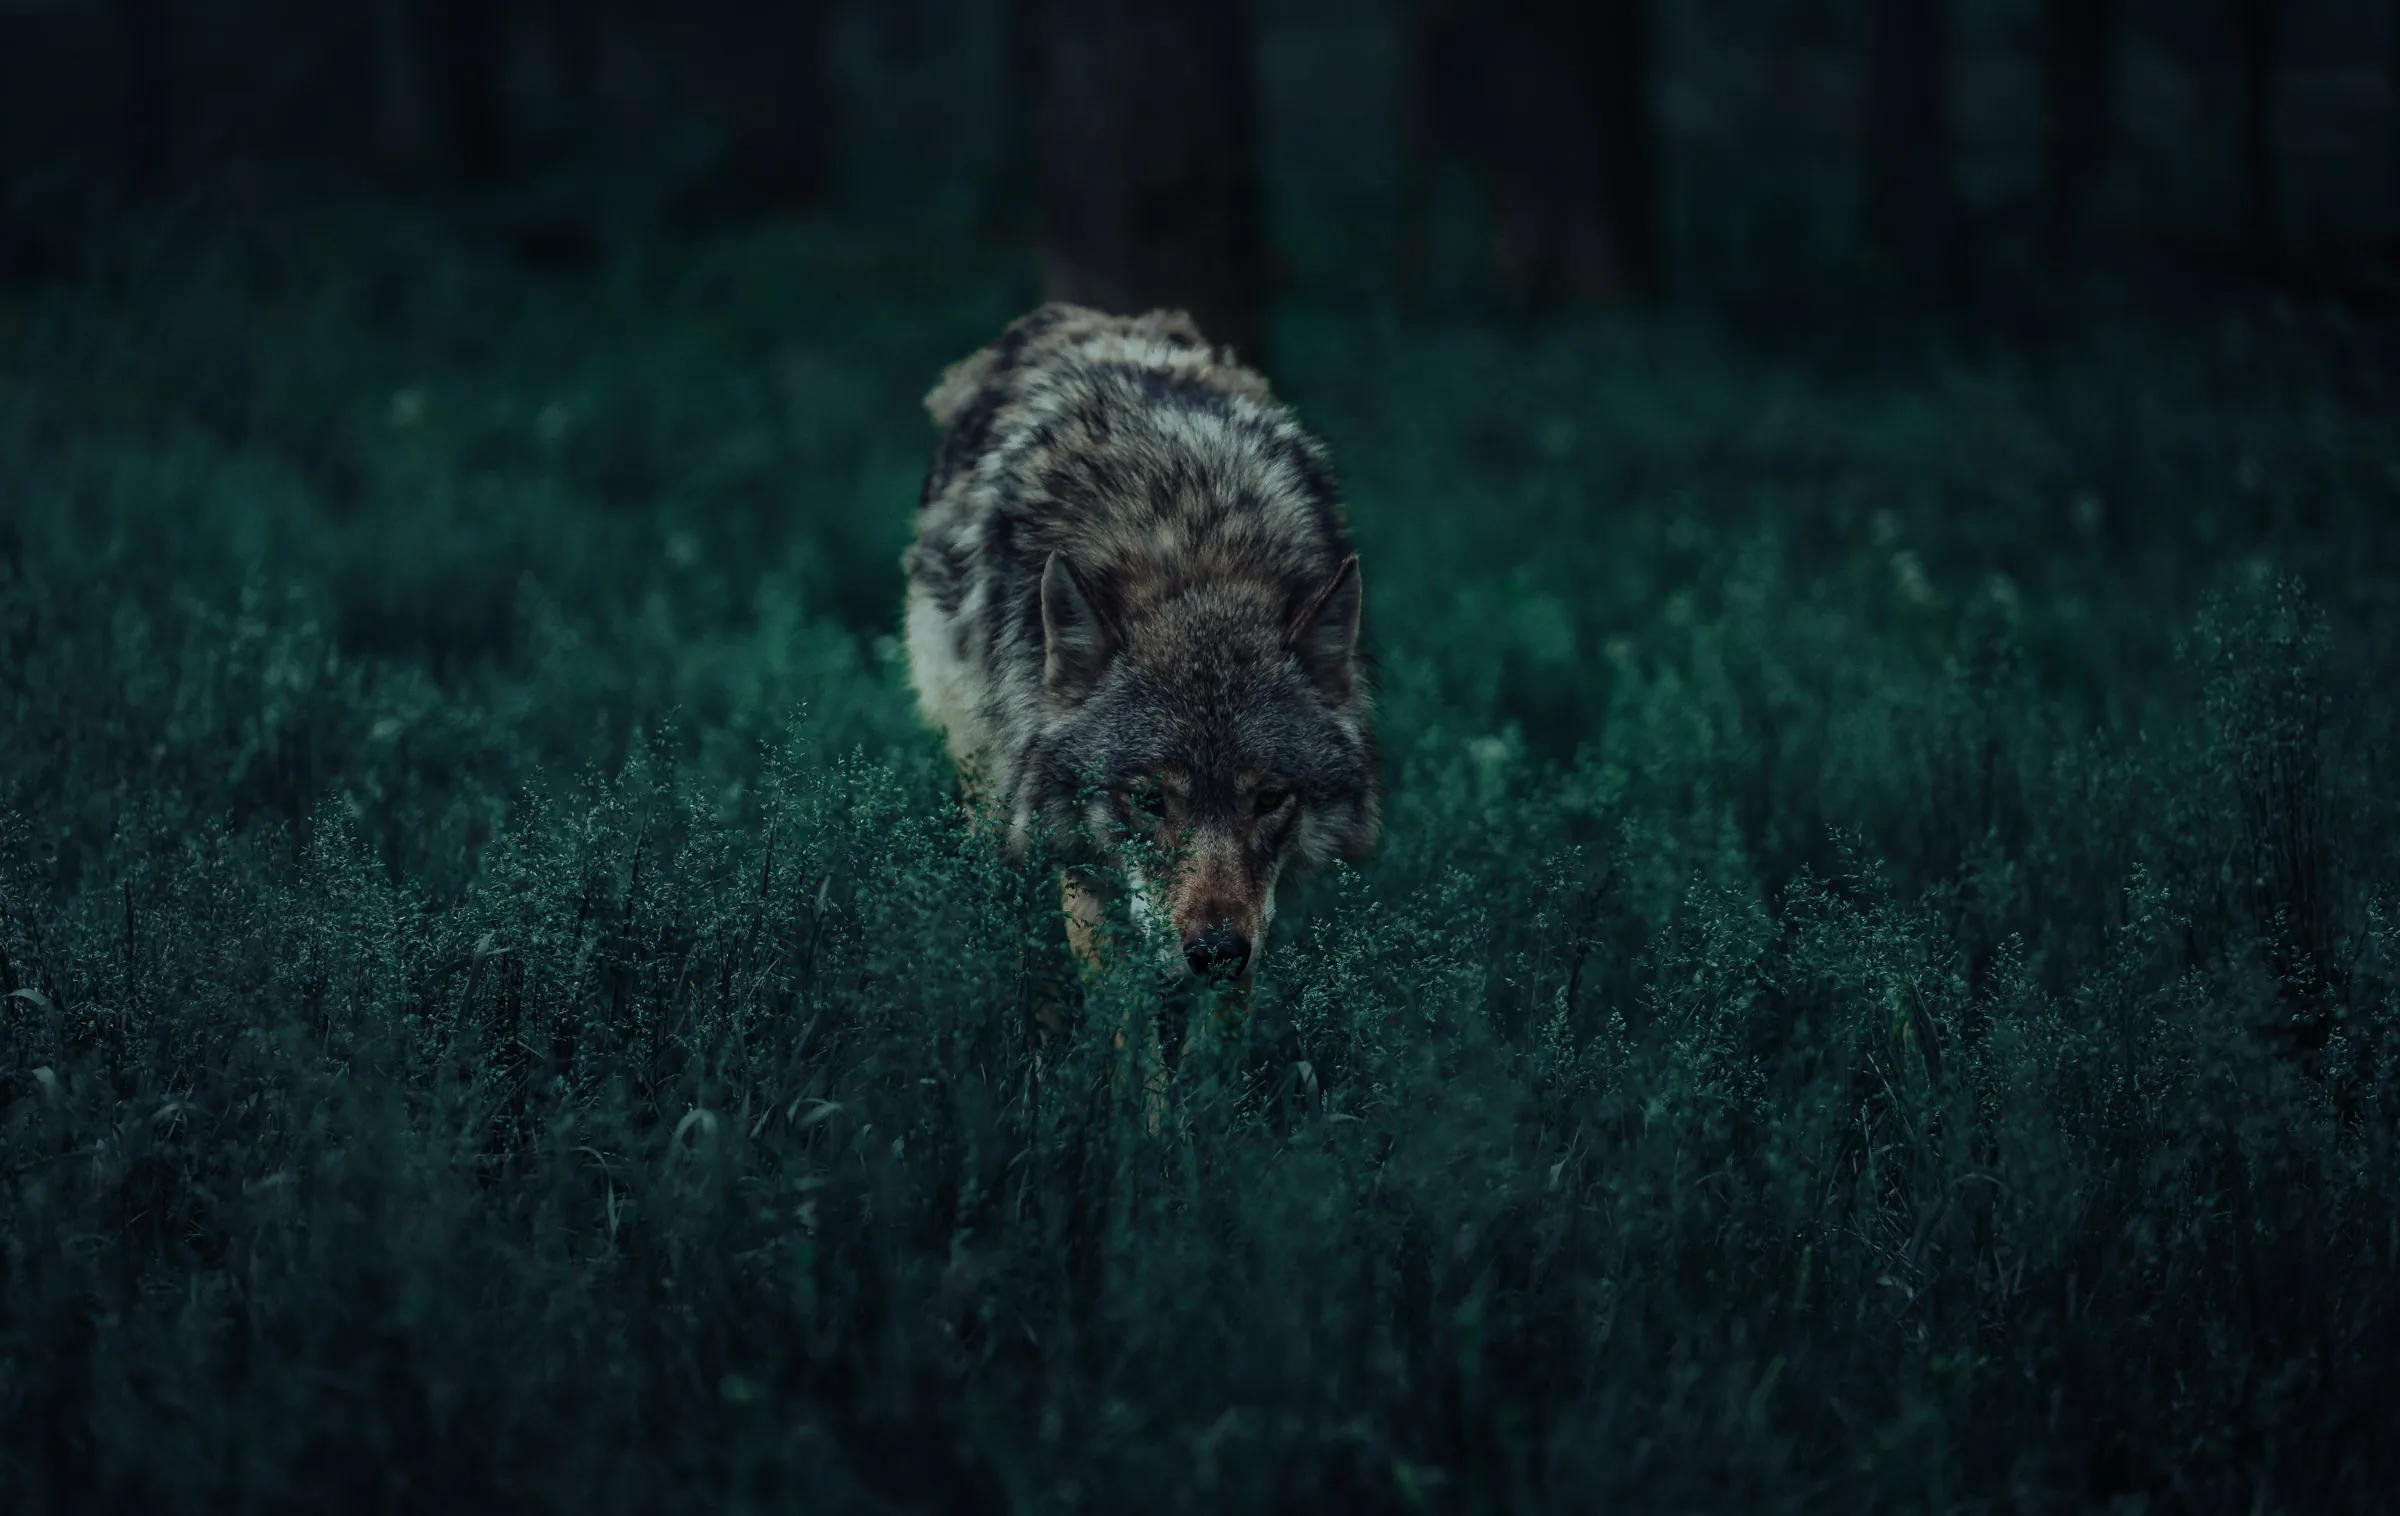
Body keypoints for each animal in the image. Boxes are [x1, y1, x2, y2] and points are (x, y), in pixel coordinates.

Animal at [904, 302, 1377, 991]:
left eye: (1268, 799)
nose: (1215, 953)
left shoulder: (1255, 923)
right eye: (1151, 800)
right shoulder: (1079, 862)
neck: (1194, 554)